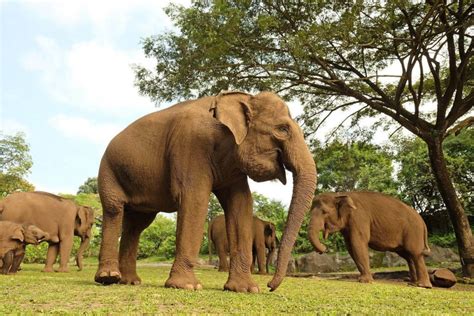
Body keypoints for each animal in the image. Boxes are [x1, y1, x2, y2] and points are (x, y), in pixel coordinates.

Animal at [94, 90, 316, 292]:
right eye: (283, 129)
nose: (270, 286)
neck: (242, 97)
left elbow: (241, 204)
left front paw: (245, 289)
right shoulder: (191, 145)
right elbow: (195, 198)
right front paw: (186, 286)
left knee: (136, 225)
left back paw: (129, 281)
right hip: (107, 170)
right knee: (114, 210)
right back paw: (108, 277)